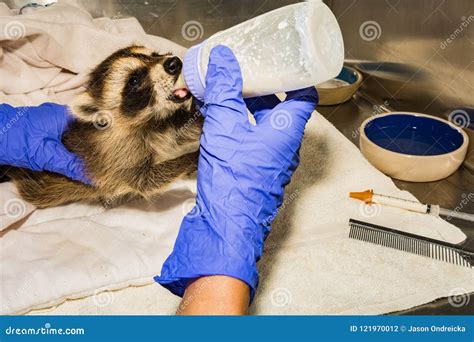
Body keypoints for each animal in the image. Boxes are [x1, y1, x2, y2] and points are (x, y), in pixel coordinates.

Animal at [6, 44, 204, 207]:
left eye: (155, 55)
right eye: (134, 80)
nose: (174, 62)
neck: (150, 121)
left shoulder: (165, 127)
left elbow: (184, 129)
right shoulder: (115, 152)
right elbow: (145, 180)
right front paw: (191, 158)